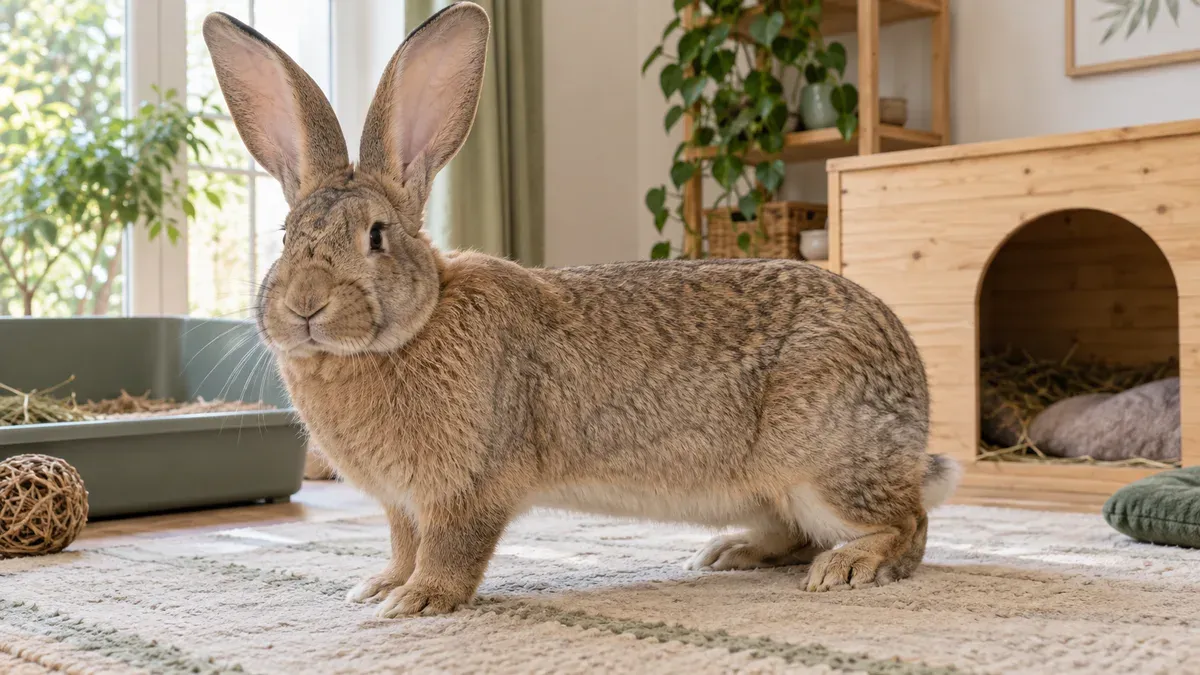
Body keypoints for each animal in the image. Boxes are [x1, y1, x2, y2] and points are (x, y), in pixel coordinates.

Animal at [202, 2, 960, 618]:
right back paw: (730, 552)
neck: (411, 328)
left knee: (909, 526)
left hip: (820, 465)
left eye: (377, 236)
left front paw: (418, 599)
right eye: (284, 237)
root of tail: (915, 396)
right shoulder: (403, 504)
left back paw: (847, 566)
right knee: (798, 533)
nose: (304, 305)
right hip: (775, 486)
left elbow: (450, 550)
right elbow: (401, 544)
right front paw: (380, 585)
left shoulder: (468, 489)